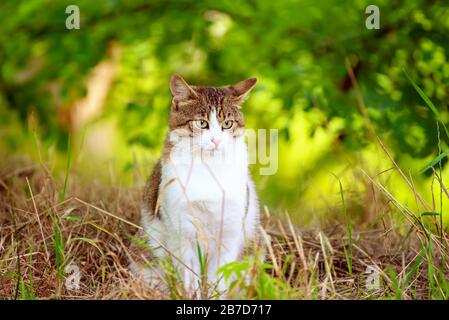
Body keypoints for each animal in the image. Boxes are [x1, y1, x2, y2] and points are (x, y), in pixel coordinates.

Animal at [129, 74, 262, 298]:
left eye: (227, 124)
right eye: (201, 123)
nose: (216, 140)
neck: (209, 168)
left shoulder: (229, 232)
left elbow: (220, 278)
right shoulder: (183, 231)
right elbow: (190, 277)